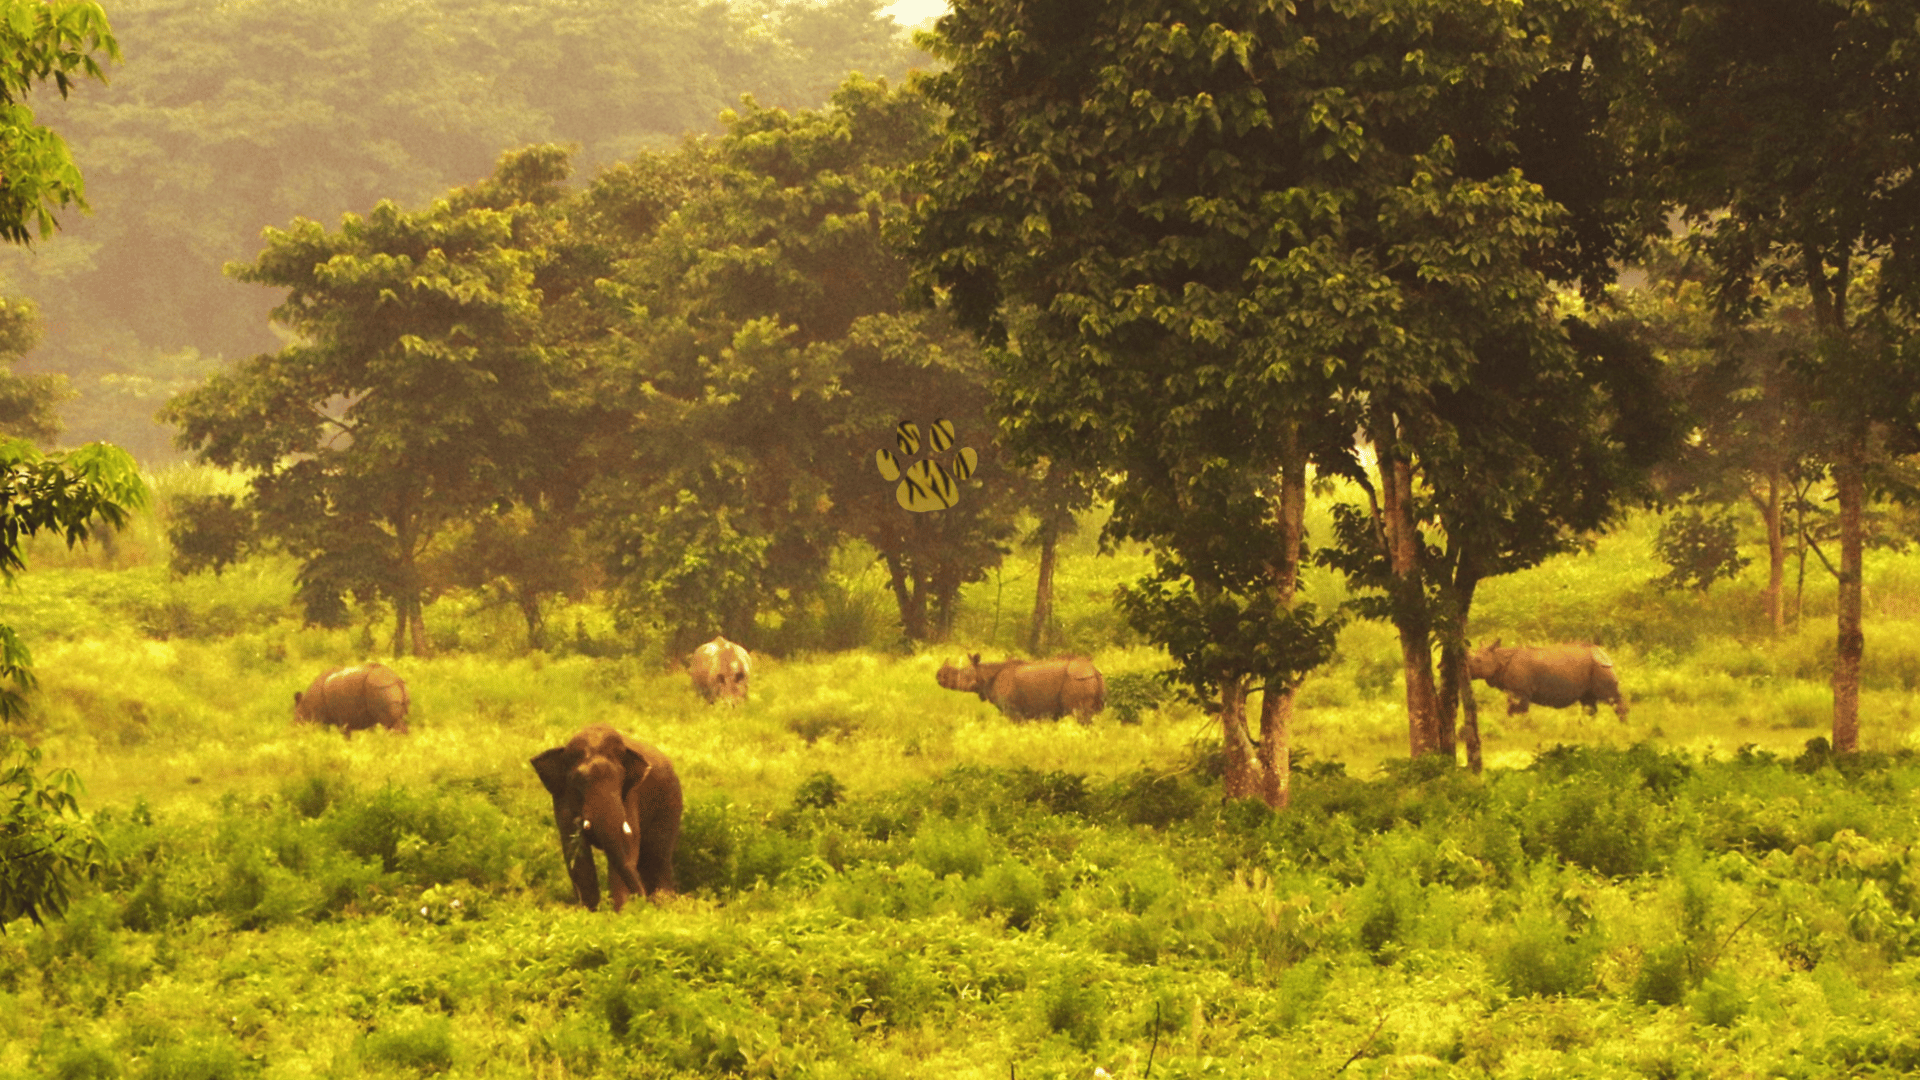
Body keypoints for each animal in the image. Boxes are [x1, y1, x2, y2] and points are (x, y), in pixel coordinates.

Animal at [530, 725, 683, 911]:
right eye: (578, 780)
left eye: (620, 779)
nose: (642, 900)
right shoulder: (562, 795)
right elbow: (576, 851)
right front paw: (590, 912)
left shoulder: (630, 794)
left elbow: (629, 843)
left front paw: (620, 913)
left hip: (671, 800)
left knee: (658, 855)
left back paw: (664, 905)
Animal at [937, 653, 1106, 721]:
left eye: (962, 674)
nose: (938, 676)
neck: (985, 673)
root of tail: (1093, 670)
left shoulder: (1012, 710)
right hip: (1093, 681)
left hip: (1078, 679)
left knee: (1079, 717)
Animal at [1466, 639, 1628, 720]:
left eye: (1478, 661)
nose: (1467, 671)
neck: (1499, 658)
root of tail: (1603, 652)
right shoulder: (1513, 691)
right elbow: (1511, 711)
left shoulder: (1520, 691)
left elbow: (1519, 711)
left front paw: (1520, 729)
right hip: (1596, 665)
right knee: (1588, 702)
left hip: (1600, 667)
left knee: (1610, 697)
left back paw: (1623, 724)